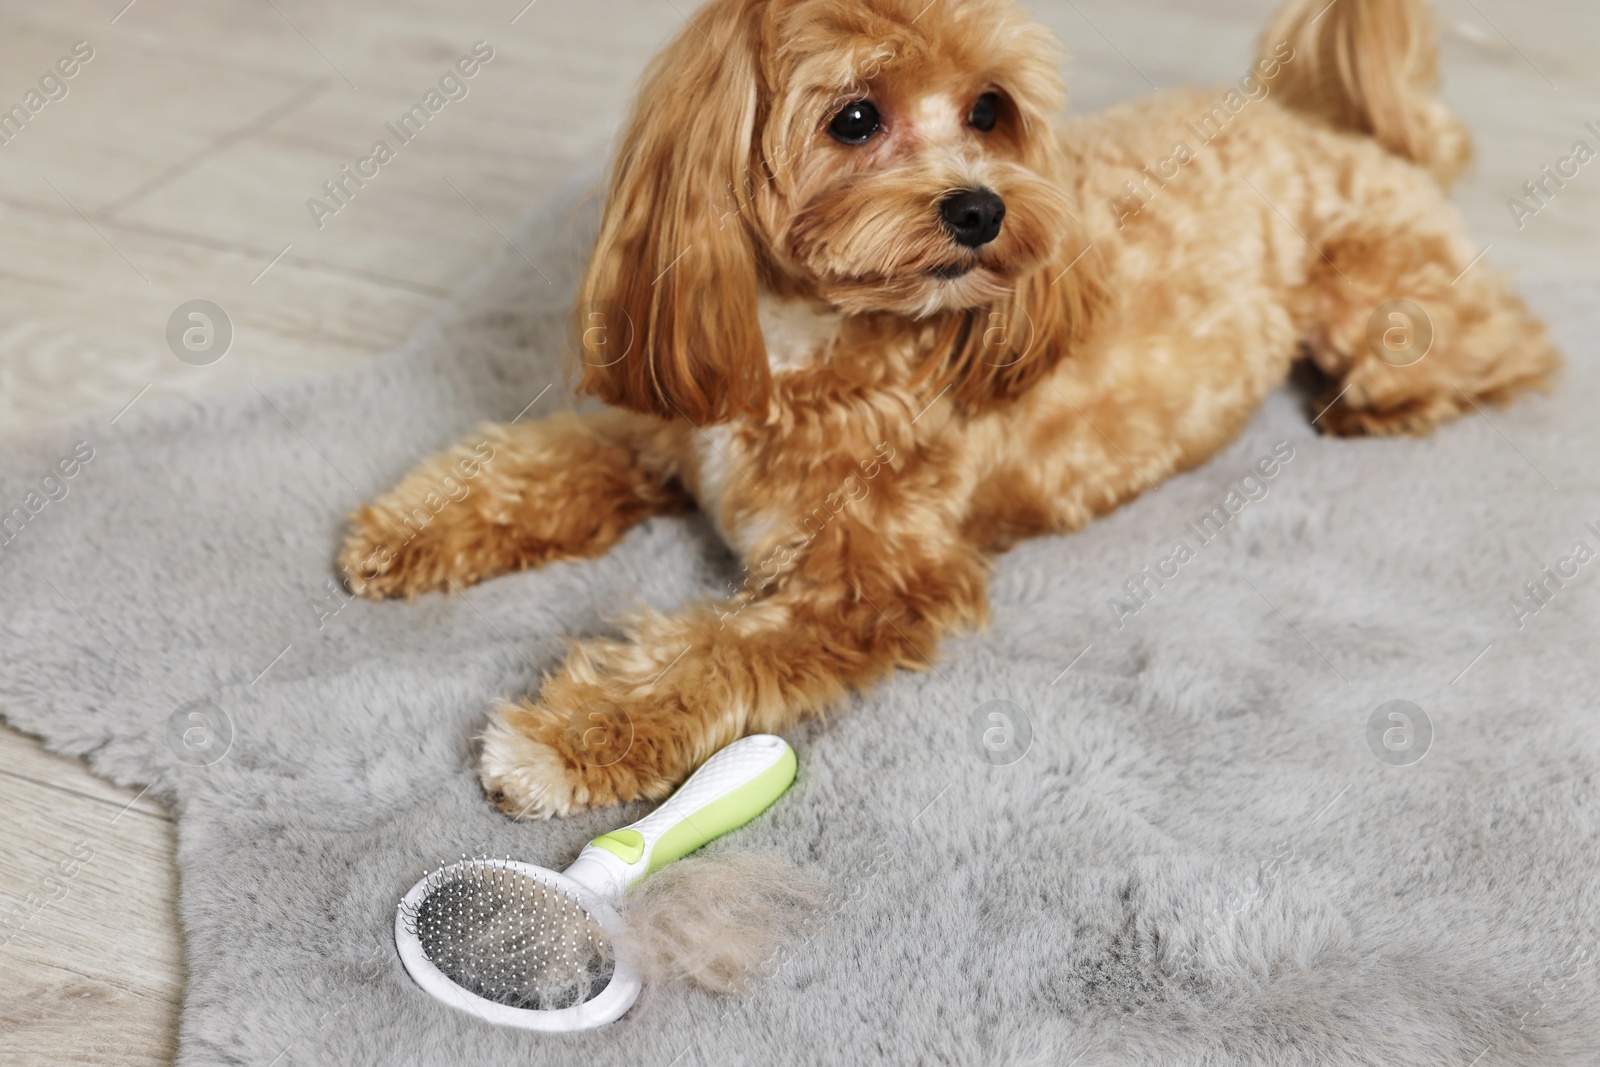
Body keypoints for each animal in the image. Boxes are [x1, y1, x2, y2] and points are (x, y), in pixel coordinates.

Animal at [334, 0, 1548, 825]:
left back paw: (1385, 410)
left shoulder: (870, 585)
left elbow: (715, 654)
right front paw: (412, 527)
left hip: (1387, 306)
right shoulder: (654, 425)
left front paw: (564, 737)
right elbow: (533, 465)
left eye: (988, 109)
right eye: (855, 117)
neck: (803, 342)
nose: (980, 209)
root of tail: (1342, 130)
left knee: (1516, 350)